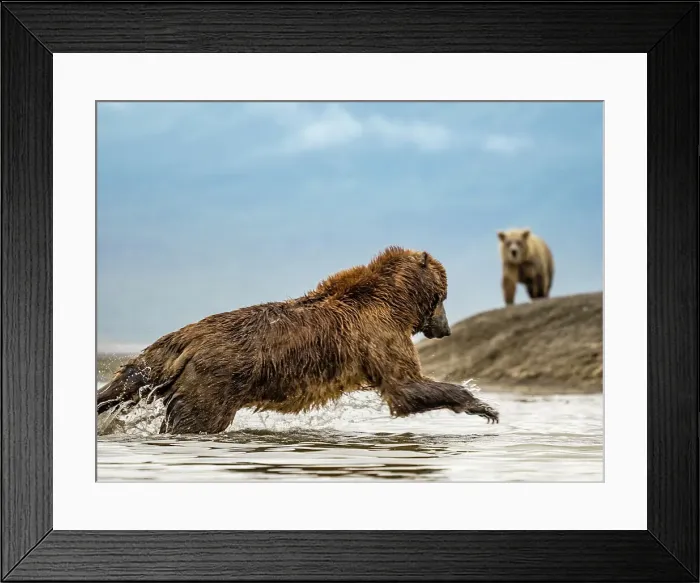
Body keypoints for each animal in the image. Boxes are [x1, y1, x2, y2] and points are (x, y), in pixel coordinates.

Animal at [97, 246, 499, 435]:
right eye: (444, 295)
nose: (446, 328)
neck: (394, 302)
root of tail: (186, 337)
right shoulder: (379, 334)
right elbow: (405, 387)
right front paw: (482, 405)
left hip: (158, 361)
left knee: (127, 382)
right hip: (212, 383)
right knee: (193, 422)